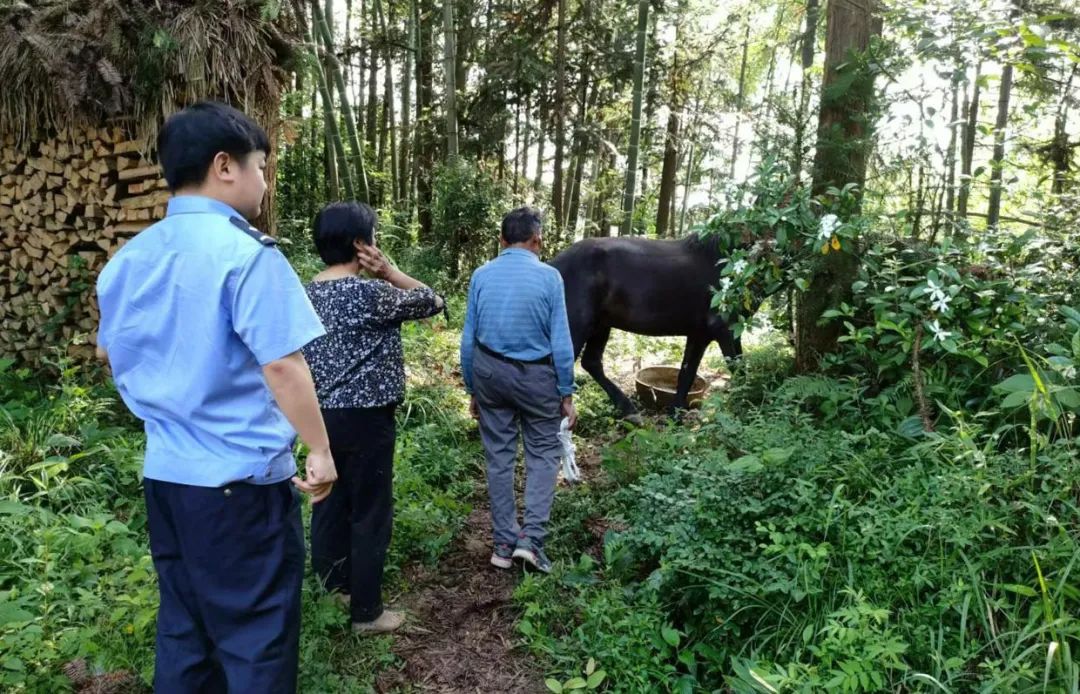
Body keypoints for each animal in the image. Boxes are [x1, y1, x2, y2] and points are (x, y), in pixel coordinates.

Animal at [552, 233, 738, 418]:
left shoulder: (699, 334)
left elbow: (686, 374)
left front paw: (675, 416)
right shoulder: (724, 329)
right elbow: (738, 368)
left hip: (600, 325)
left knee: (591, 362)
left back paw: (629, 410)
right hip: (576, 328)